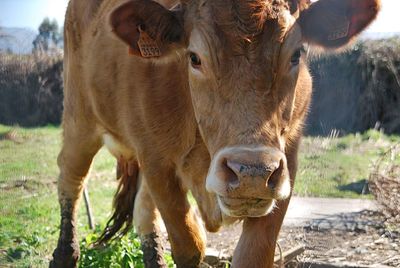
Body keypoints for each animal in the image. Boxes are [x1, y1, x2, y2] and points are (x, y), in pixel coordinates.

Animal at [51, 0, 380, 266]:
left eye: (296, 54)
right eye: (195, 58)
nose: (252, 173)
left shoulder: (288, 160)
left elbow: (253, 254)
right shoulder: (156, 160)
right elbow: (189, 247)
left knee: (144, 214)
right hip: (80, 119)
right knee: (71, 179)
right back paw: (65, 254)